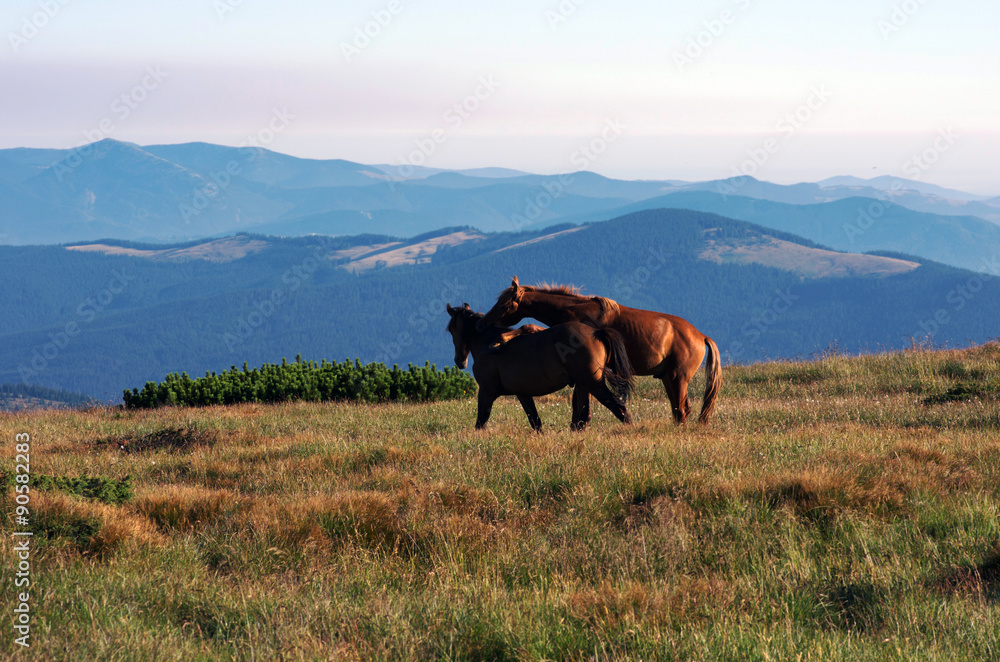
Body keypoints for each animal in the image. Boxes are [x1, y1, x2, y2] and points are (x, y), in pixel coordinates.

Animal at [446, 303, 634, 431]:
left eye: (451, 329)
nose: (459, 361)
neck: (486, 343)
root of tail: (596, 332)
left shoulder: (486, 391)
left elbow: (481, 421)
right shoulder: (522, 394)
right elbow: (535, 421)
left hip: (593, 385)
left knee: (619, 408)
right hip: (583, 386)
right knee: (582, 418)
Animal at [477, 277, 722, 424]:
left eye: (505, 305)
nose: (482, 323)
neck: (577, 309)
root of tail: (701, 336)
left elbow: (529, 327)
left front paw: (499, 340)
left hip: (677, 378)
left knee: (681, 410)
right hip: (668, 378)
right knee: (680, 410)